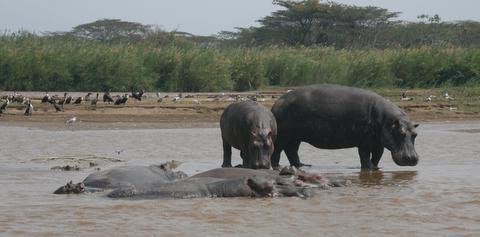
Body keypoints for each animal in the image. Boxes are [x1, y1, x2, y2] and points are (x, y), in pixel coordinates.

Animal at [272, 84, 418, 169]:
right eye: (401, 133)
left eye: (415, 135)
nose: (412, 158)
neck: (386, 120)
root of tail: (278, 102)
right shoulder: (364, 143)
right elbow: (365, 157)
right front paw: (367, 169)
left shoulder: (379, 143)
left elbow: (377, 157)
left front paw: (375, 169)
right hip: (283, 136)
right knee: (277, 150)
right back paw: (276, 166)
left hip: (295, 137)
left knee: (291, 150)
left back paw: (302, 165)